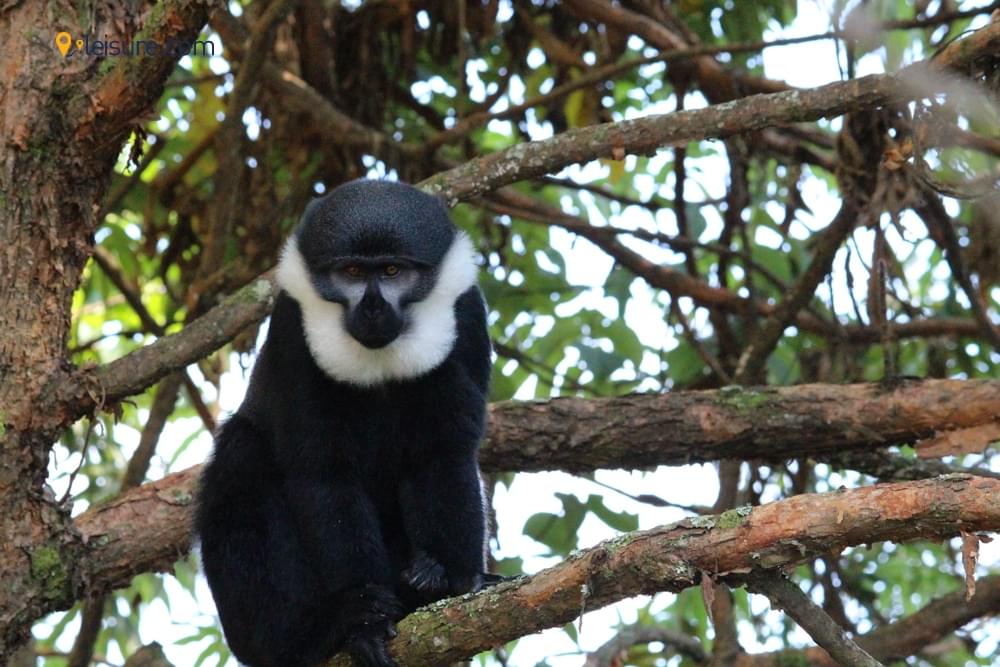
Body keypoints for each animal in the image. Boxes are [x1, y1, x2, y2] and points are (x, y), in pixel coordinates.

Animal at [195, 179, 493, 667]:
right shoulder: (293, 332)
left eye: (391, 270)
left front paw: (446, 579)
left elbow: (442, 453)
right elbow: (323, 474)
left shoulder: (466, 317)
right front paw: (363, 620)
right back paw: (302, 633)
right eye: (352, 272)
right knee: (241, 458)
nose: (372, 308)